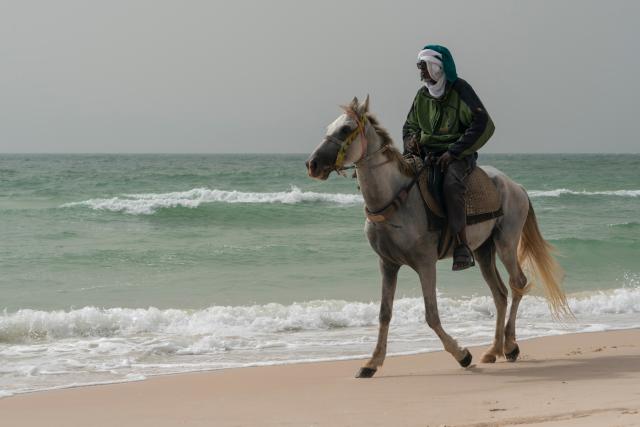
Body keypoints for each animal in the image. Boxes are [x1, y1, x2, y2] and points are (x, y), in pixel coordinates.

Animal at [305, 96, 570, 378]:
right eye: (329, 127)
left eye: (346, 129)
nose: (312, 164)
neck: (395, 198)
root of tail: (515, 186)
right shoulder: (387, 265)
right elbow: (384, 313)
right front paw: (371, 363)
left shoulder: (425, 263)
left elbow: (431, 314)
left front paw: (462, 355)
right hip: (483, 251)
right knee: (499, 294)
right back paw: (493, 350)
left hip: (506, 244)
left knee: (517, 283)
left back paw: (510, 346)